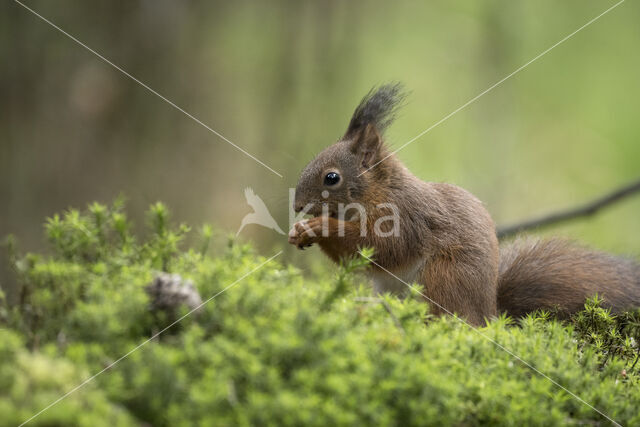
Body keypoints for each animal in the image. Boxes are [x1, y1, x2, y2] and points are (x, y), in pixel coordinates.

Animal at [290, 83, 640, 326]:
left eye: (331, 178)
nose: (297, 206)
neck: (379, 193)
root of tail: (488, 316)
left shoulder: (408, 217)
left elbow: (382, 246)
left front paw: (319, 227)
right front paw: (298, 232)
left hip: (442, 277)